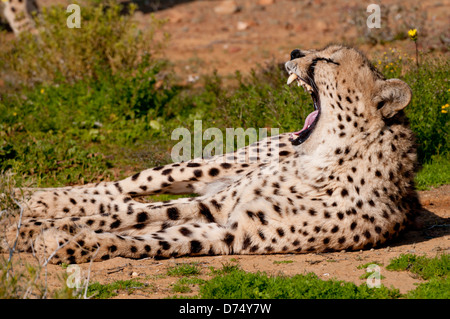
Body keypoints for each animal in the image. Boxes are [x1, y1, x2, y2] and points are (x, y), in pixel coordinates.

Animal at [2, 45, 422, 264]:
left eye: (327, 60)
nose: (296, 51)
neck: (324, 159)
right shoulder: (217, 205)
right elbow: (121, 216)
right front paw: (29, 228)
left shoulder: (230, 231)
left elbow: (144, 236)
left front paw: (63, 241)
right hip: (213, 166)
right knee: (125, 187)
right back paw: (37, 198)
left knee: (130, 200)